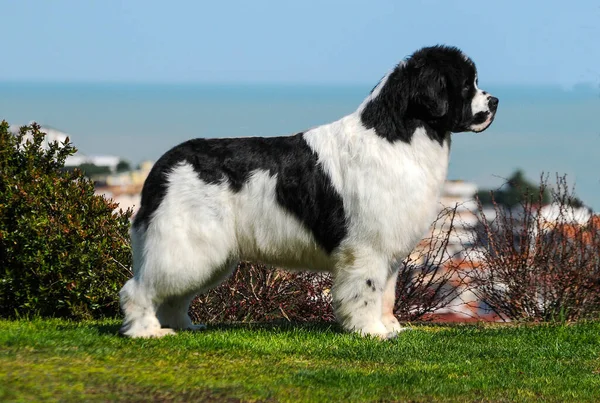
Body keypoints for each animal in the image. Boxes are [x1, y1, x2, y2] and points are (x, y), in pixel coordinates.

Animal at [119, 45, 500, 340]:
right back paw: (146, 331)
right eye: (467, 83)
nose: (495, 101)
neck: (399, 136)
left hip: (206, 253)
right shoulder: (366, 248)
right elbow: (367, 290)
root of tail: (165, 164)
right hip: (187, 245)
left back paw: (182, 326)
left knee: (174, 295)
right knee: (140, 288)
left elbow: (387, 293)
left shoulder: (390, 247)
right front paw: (369, 331)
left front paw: (389, 327)